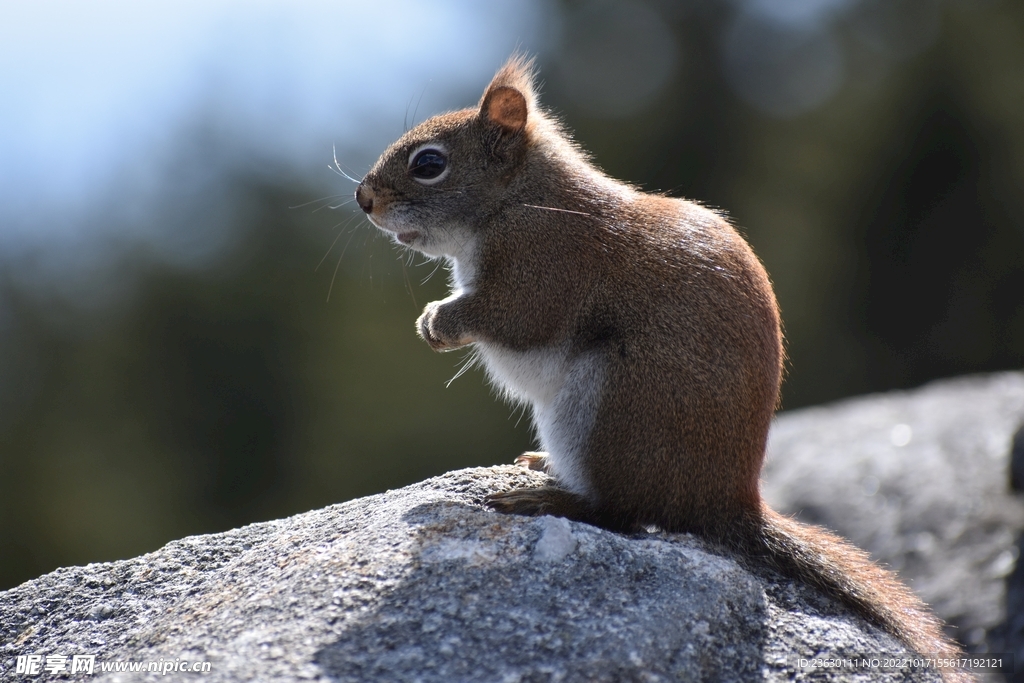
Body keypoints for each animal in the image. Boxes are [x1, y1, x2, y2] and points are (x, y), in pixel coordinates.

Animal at [358, 56, 966, 675]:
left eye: (429, 164)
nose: (363, 198)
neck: (521, 199)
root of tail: (723, 501)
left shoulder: (545, 264)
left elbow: (516, 317)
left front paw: (439, 321)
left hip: (609, 407)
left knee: (623, 513)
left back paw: (549, 499)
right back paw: (544, 467)